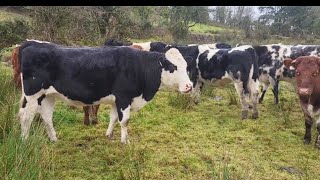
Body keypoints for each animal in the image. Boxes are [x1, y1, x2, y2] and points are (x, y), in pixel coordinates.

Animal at [17, 39, 192, 143]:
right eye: (173, 66)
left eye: (186, 66)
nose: (189, 86)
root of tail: (33, 43)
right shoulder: (124, 97)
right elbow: (124, 120)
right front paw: (125, 141)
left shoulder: (117, 100)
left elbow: (114, 118)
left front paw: (109, 135)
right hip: (33, 95)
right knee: (26, 118)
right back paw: (24, 141)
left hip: (47, 96)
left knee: (46, 117)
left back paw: (54, 139)